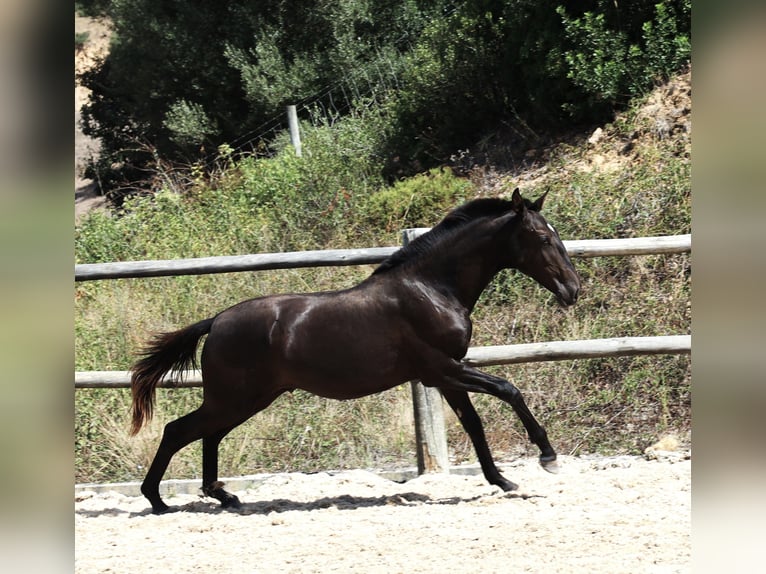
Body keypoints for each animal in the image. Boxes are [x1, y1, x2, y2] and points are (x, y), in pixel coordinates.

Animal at [132, 190, 584, 516]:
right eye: (543, 237)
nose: (573, 290)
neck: (432, 289)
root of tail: (216, 321)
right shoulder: (442, 369)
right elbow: (509, 389)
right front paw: (547, 456)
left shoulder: (448, 375)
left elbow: (473, 425)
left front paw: (502, 481)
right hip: (234, 397)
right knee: (177, 430)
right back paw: (158, 500)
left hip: (246, 399)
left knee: (207, 434)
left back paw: (223, 497)